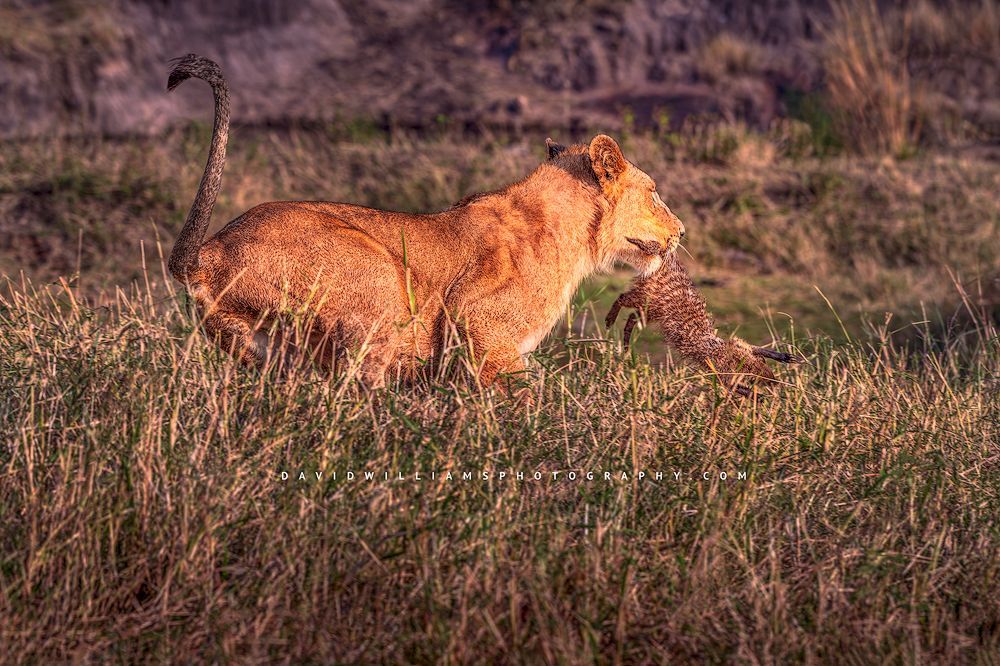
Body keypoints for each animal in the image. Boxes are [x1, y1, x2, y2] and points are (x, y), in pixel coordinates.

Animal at [165, 54, 685, 391]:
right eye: (655, 191)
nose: (680, 231)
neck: (575, 236)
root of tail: (209, 252)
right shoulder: (475, 318)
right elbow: (520, 397)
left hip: (261, 352)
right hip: (381, 281)